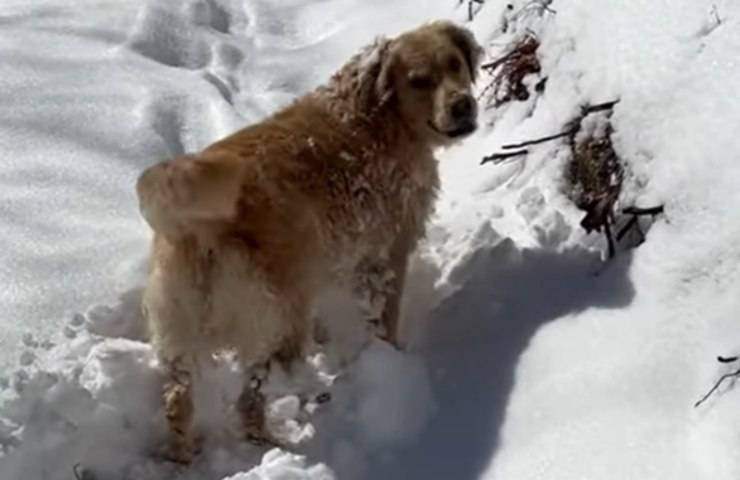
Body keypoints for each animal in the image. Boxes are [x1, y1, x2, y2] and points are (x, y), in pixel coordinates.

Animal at [134, 20, 480, 464]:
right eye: (420, 81)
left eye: (454, 64)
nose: (462, 105)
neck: (376, 114)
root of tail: (198, 225)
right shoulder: (385, 257)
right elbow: (384, 320)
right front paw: (389, 361)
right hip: (278, 309)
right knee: (266, 382)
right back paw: (300, 407)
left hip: (181, 335)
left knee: (186, 402)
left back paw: (193, 452)